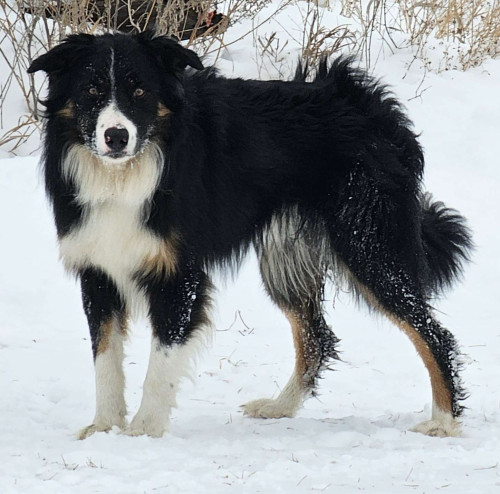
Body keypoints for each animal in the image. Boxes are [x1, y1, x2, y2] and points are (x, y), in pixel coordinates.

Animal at [28, 31, 472, 439]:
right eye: (91, 90)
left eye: (139, 90)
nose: (116, 137)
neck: (124, 176)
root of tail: (374, 106)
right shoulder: (97, 268)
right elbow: (105, 358)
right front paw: (103, 428)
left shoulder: (179, 274)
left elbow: (160, 361)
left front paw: (143, 431)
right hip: (286, 256)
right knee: (317, 336)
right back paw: (280, 406)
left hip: (369, 246)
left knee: (434, 334)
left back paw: (444, 421)